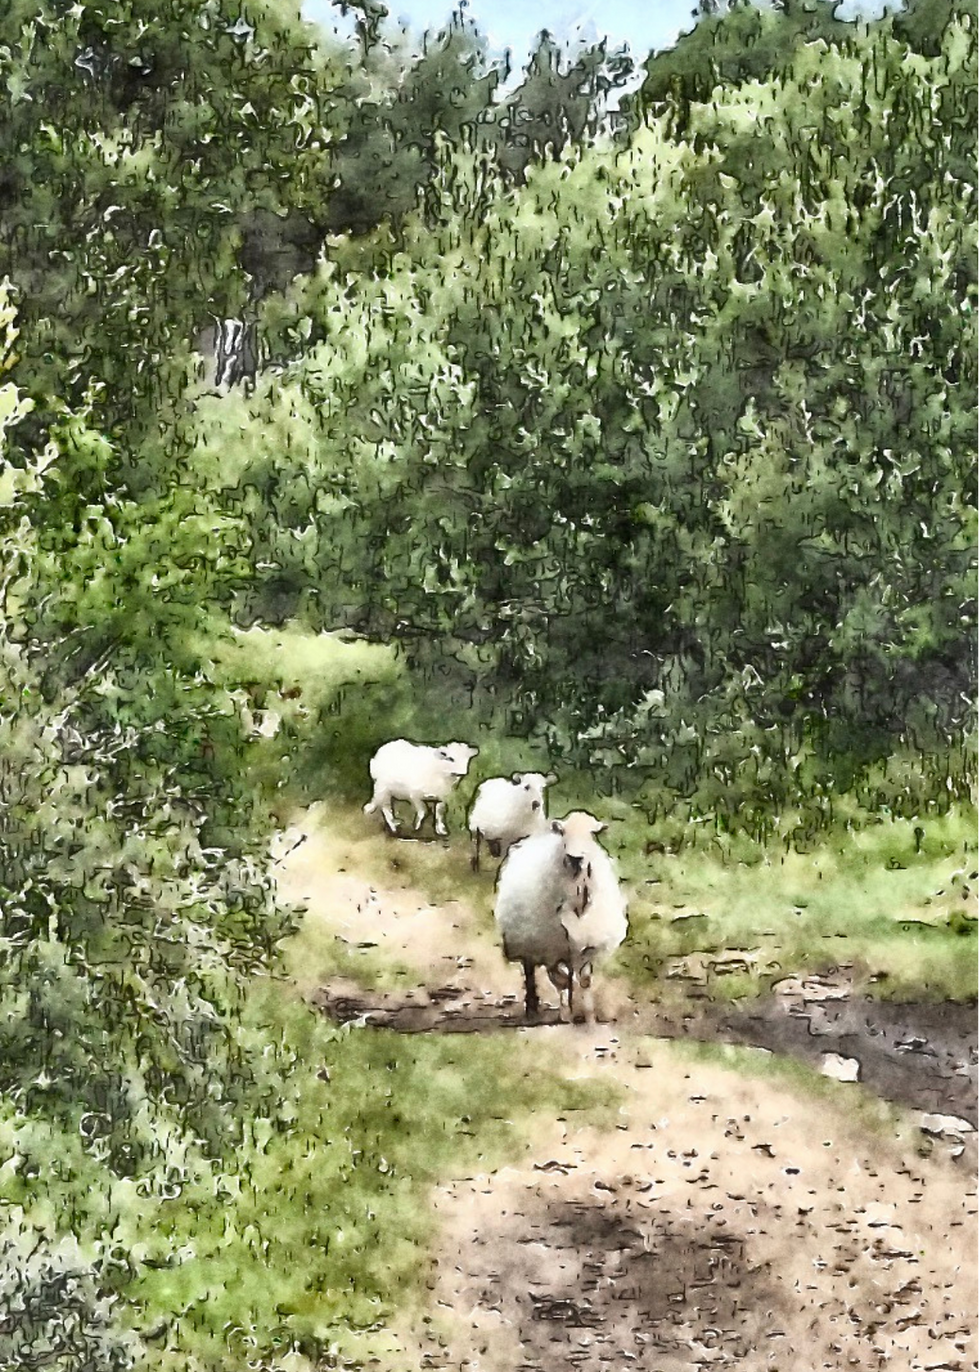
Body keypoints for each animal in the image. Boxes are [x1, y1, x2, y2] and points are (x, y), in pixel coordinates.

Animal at [493, 811, 628, 1024]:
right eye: (563, 832)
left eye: (593, 833)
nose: (575, 858)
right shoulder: (553, 947)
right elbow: (561, 978)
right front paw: (566, 1013)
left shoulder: (586, 943)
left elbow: (584, 980)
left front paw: (588, 1015)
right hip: (528, 939)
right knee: (531, 971)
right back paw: (533, 1009)